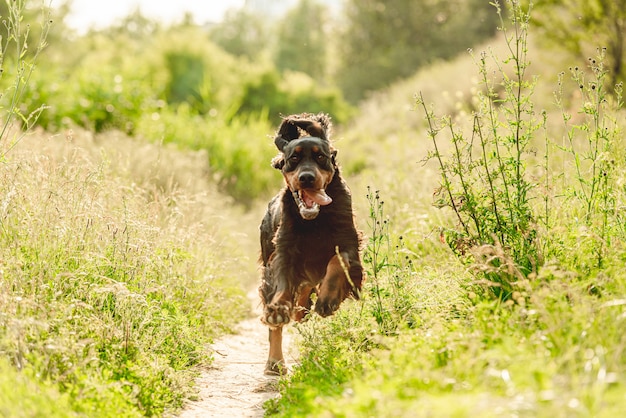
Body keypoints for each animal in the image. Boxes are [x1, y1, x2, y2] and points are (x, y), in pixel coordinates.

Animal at [258, 112, 364, 376]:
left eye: (320, 157)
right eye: (293, 158)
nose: (307, 178)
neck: (315, 220)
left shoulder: (350, 245)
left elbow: (338, 261)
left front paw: (328, 300)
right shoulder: (283, 251)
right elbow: (282, 284)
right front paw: (278, 310)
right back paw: (275, 362)